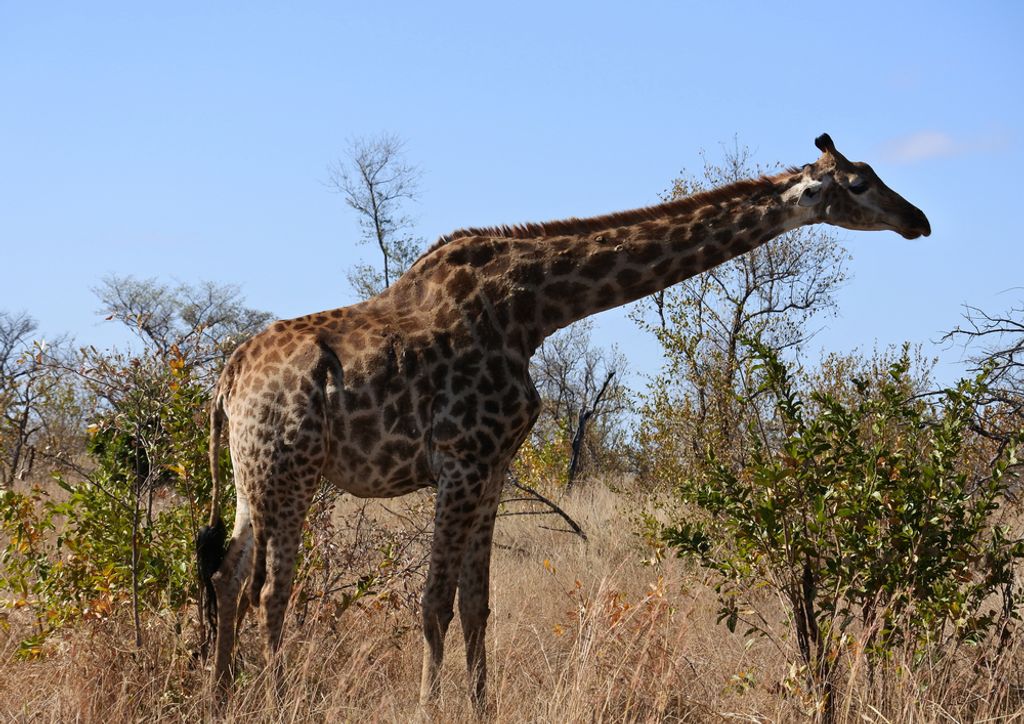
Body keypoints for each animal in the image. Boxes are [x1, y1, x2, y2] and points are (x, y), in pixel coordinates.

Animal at [197, 133, 930, 705]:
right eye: (859, 183)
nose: (918, 219)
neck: (533, 311)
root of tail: (226, 381)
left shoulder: (493, 465)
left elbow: (476, 605)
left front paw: (482, 708)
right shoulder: (461, 458)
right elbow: (434, 603)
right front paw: (429, 708)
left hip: (251, 475)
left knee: (227, 576)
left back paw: (221, 697)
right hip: (289, 469)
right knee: (270, 589)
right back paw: (275, 700)